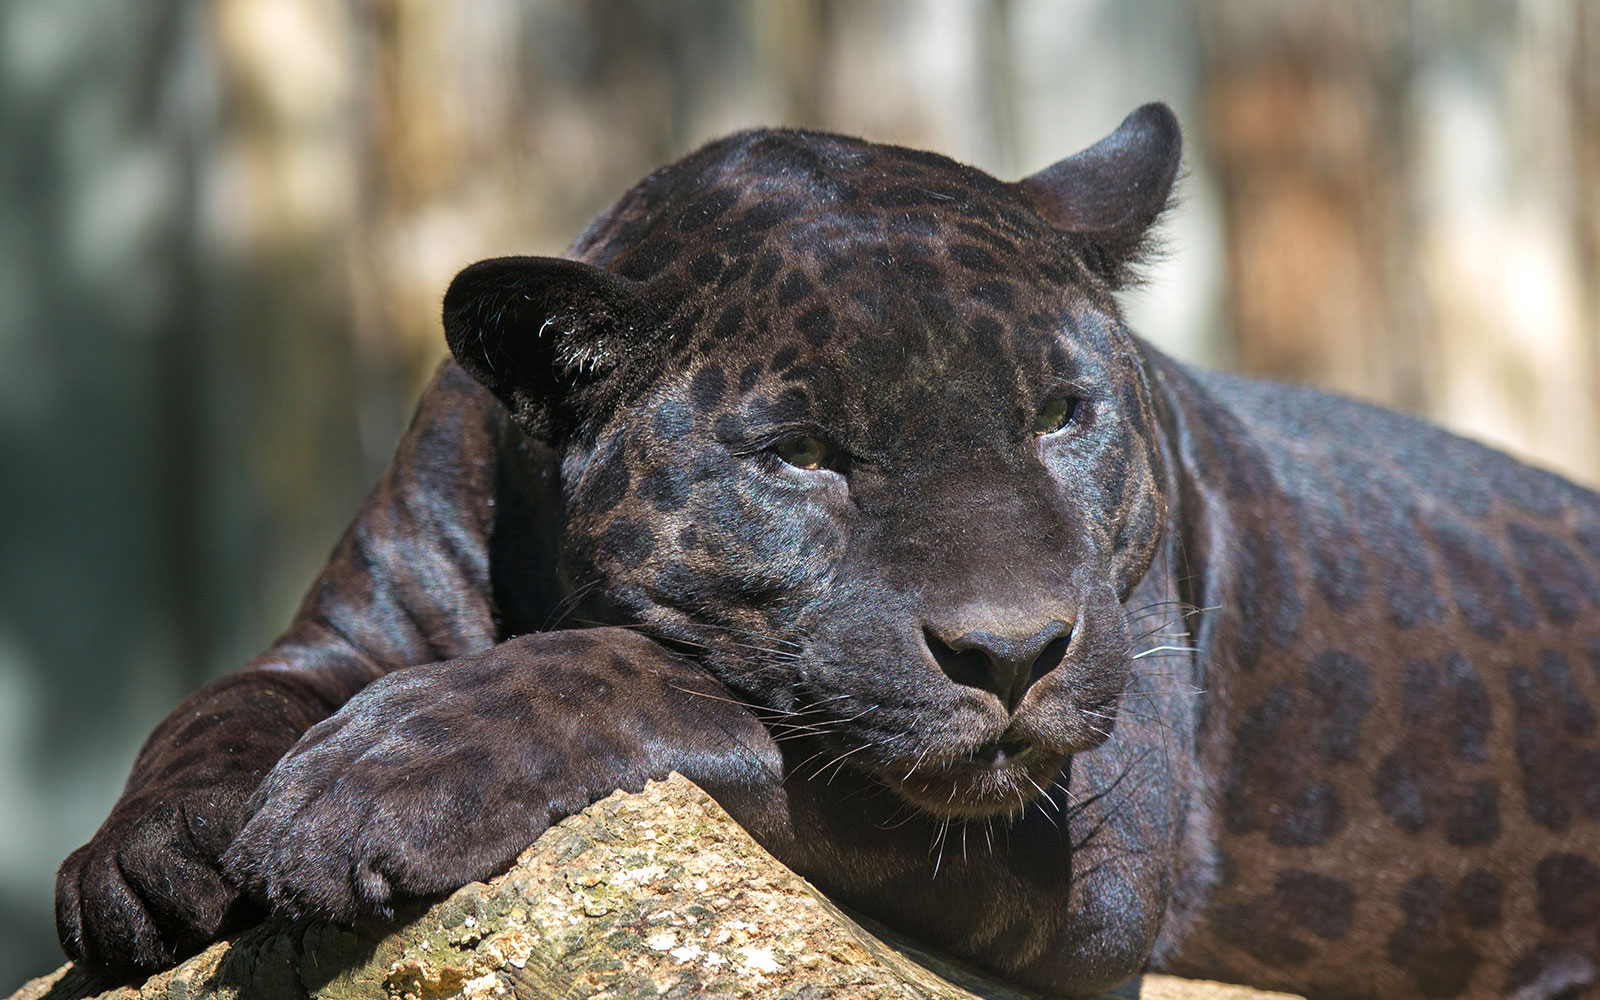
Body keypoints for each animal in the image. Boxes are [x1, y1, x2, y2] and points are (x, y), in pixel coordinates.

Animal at [55, 104, 1600, 999]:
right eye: (803, 453)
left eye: (1060, 415)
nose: (1014, 651)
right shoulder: (361, 624)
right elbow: (215, 703)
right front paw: (147, 864)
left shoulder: (1096, 826)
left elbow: (667, 680)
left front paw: (379, 782)